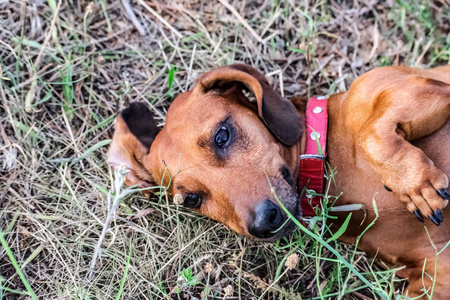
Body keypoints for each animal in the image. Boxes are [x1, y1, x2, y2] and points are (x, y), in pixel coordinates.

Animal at [107, 63, 448, 298]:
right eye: (192, 198)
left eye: (222, 135)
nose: (264, 222)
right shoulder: (434, 277)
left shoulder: (425, 90)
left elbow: (371, 134)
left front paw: (414, 184)